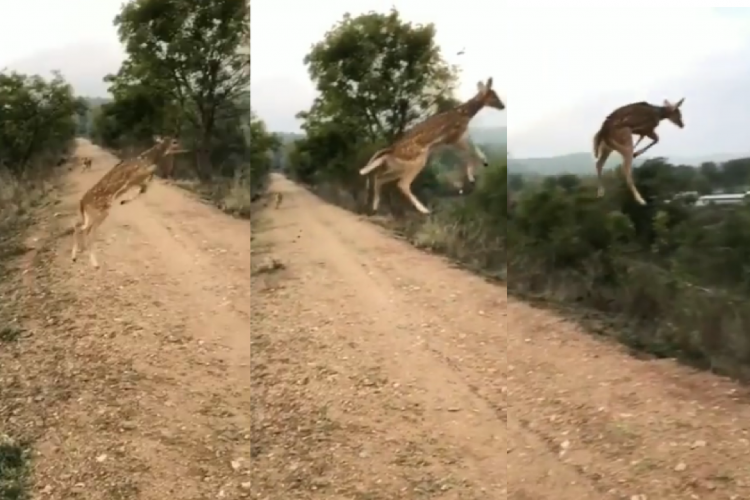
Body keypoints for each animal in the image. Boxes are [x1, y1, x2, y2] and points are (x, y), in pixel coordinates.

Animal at [71, 136, 187, 270]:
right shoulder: (135, 178)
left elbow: (144, 188)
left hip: (89, 215)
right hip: (100, 211)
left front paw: (124, 201)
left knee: (79, 226)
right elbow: (145, 186)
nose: (183, 146)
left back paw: (74, 257)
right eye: (174, 141)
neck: (148, 160)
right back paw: (94, 263)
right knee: (87, 231)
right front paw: (124, 201)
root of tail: (82, 202)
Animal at [358, 77, 506, 214]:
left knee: (379, 177)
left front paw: (483, 164)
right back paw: (424, 210)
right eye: (494, 96)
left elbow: (475, 148)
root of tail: (390, 152)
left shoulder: (462, 136)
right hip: (417, 161)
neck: (464, 114)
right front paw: (471, 176)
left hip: (397, 167)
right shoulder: (452, 138)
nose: (503, 106)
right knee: (401, 184)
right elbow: (467, 153)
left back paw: (374, 207)